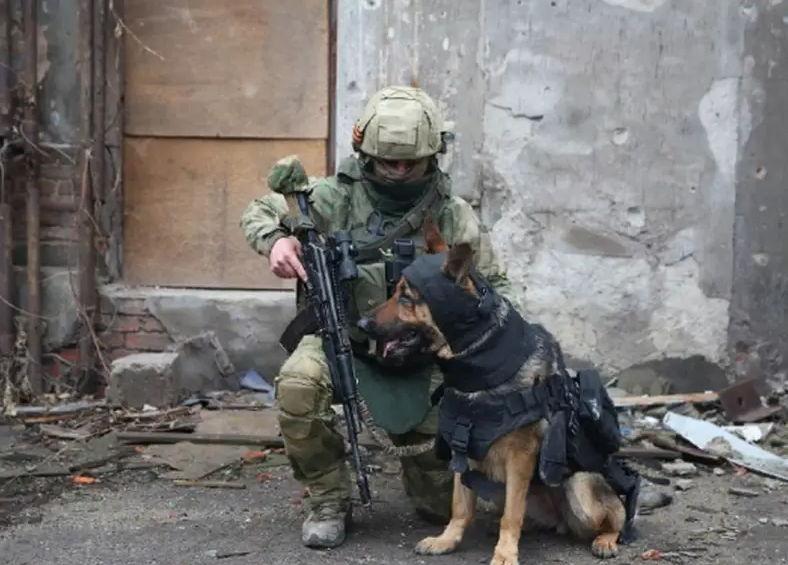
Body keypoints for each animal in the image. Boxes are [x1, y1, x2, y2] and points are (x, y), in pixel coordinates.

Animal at [357, 214, 632, 565]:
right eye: (396, 292)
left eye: (406, 297)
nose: (362, 325)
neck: (481, 363)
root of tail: (561, 521)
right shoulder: (460, 447)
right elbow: (460, 506)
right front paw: (447, 540)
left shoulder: (521, 459)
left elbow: (511, 515)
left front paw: (505, 554)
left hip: (581, 488)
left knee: (616, 514)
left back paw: (606, 540)